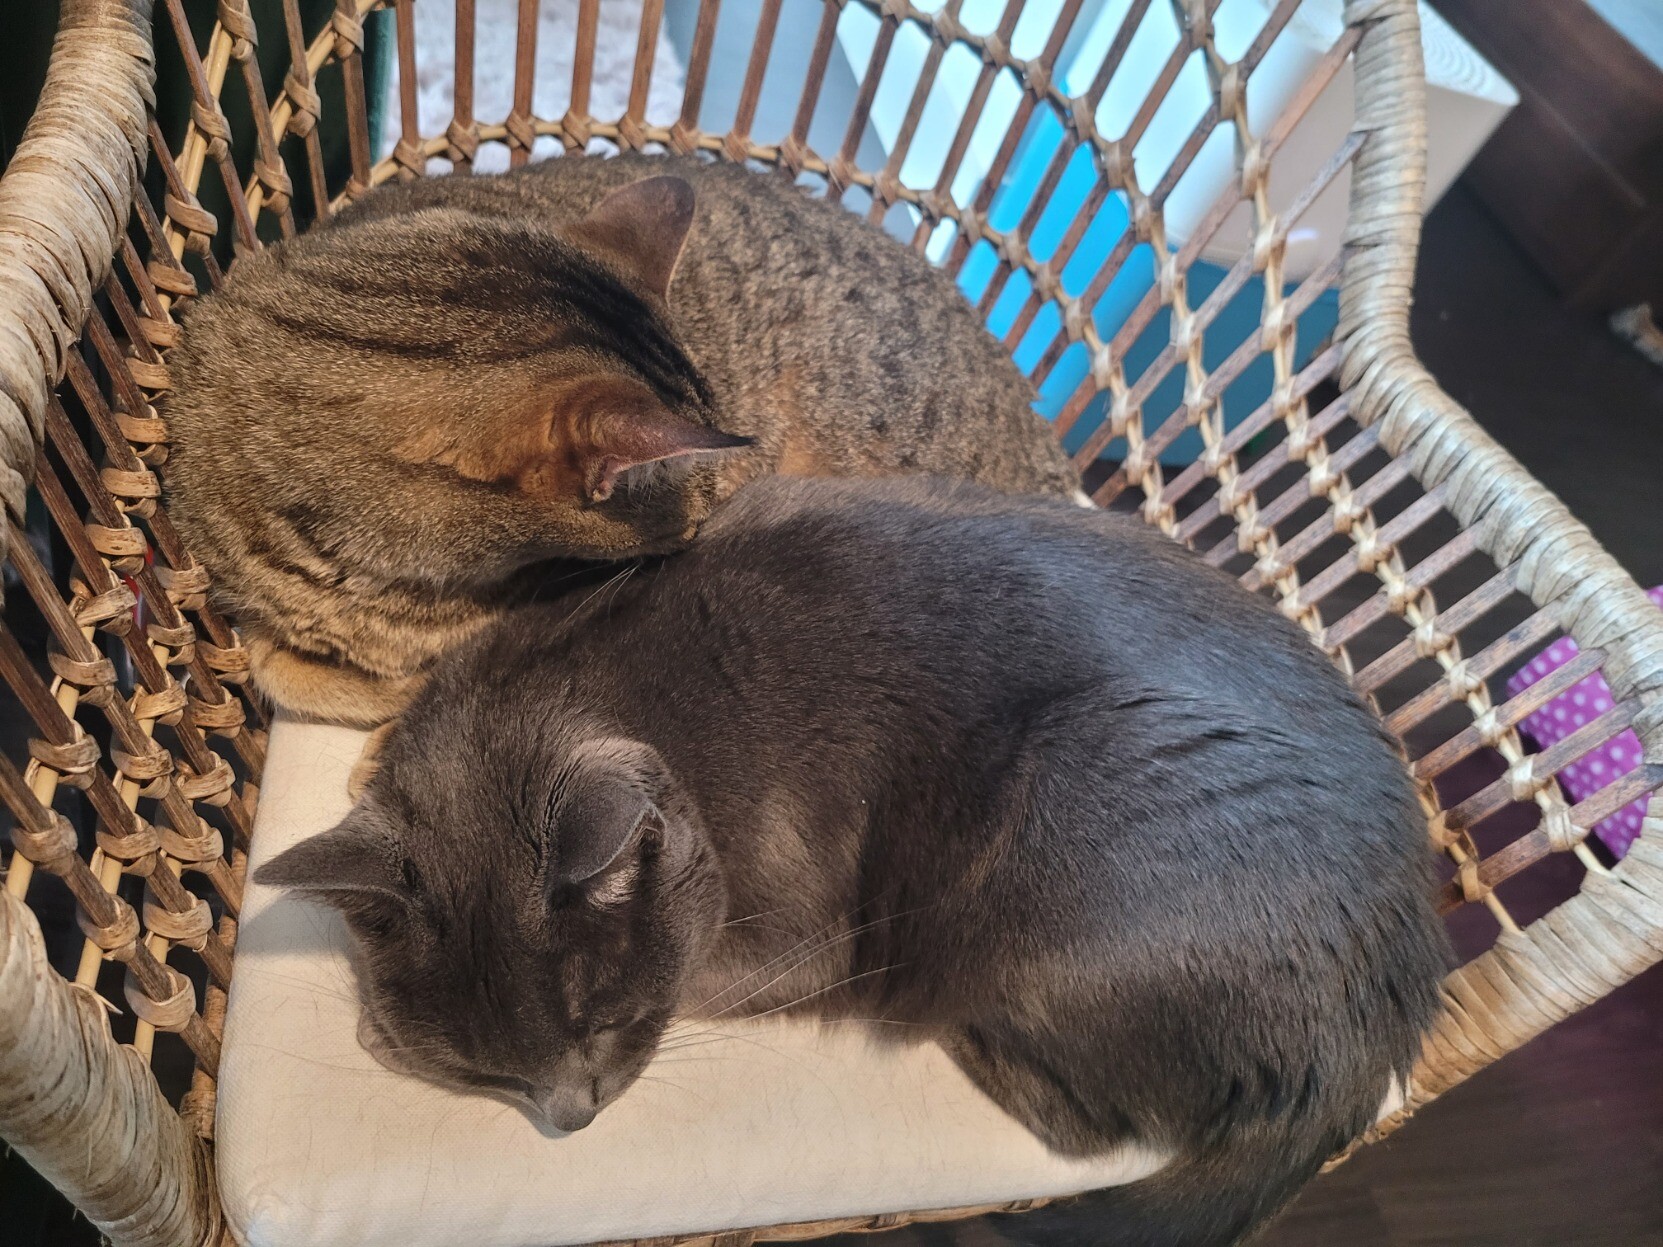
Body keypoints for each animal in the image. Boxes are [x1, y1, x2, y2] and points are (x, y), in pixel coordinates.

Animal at [259, 476, 1450, 1247]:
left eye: (602, 1025)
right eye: (491, 1075)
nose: (571, 1115)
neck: (615, 685)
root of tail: (1378, 1034)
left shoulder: (797, 940)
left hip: (1073, 801)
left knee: (1089, 1122)